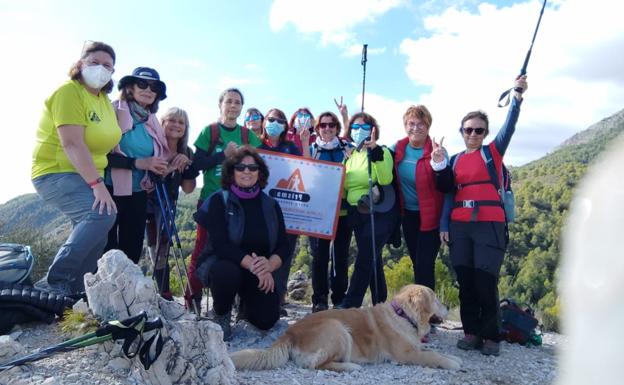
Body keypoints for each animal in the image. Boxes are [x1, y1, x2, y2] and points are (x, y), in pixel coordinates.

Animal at [232, 284, 460, 370]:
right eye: (436, 299)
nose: (449, 306)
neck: (402, 315)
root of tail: (289, 332)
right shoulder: (407, 354)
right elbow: (433, 356)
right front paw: (452, 363)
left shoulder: (415, 347)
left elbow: (433, 350)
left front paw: (452, 357)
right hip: (338, 328)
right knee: (317, 365)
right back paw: (351, 367)